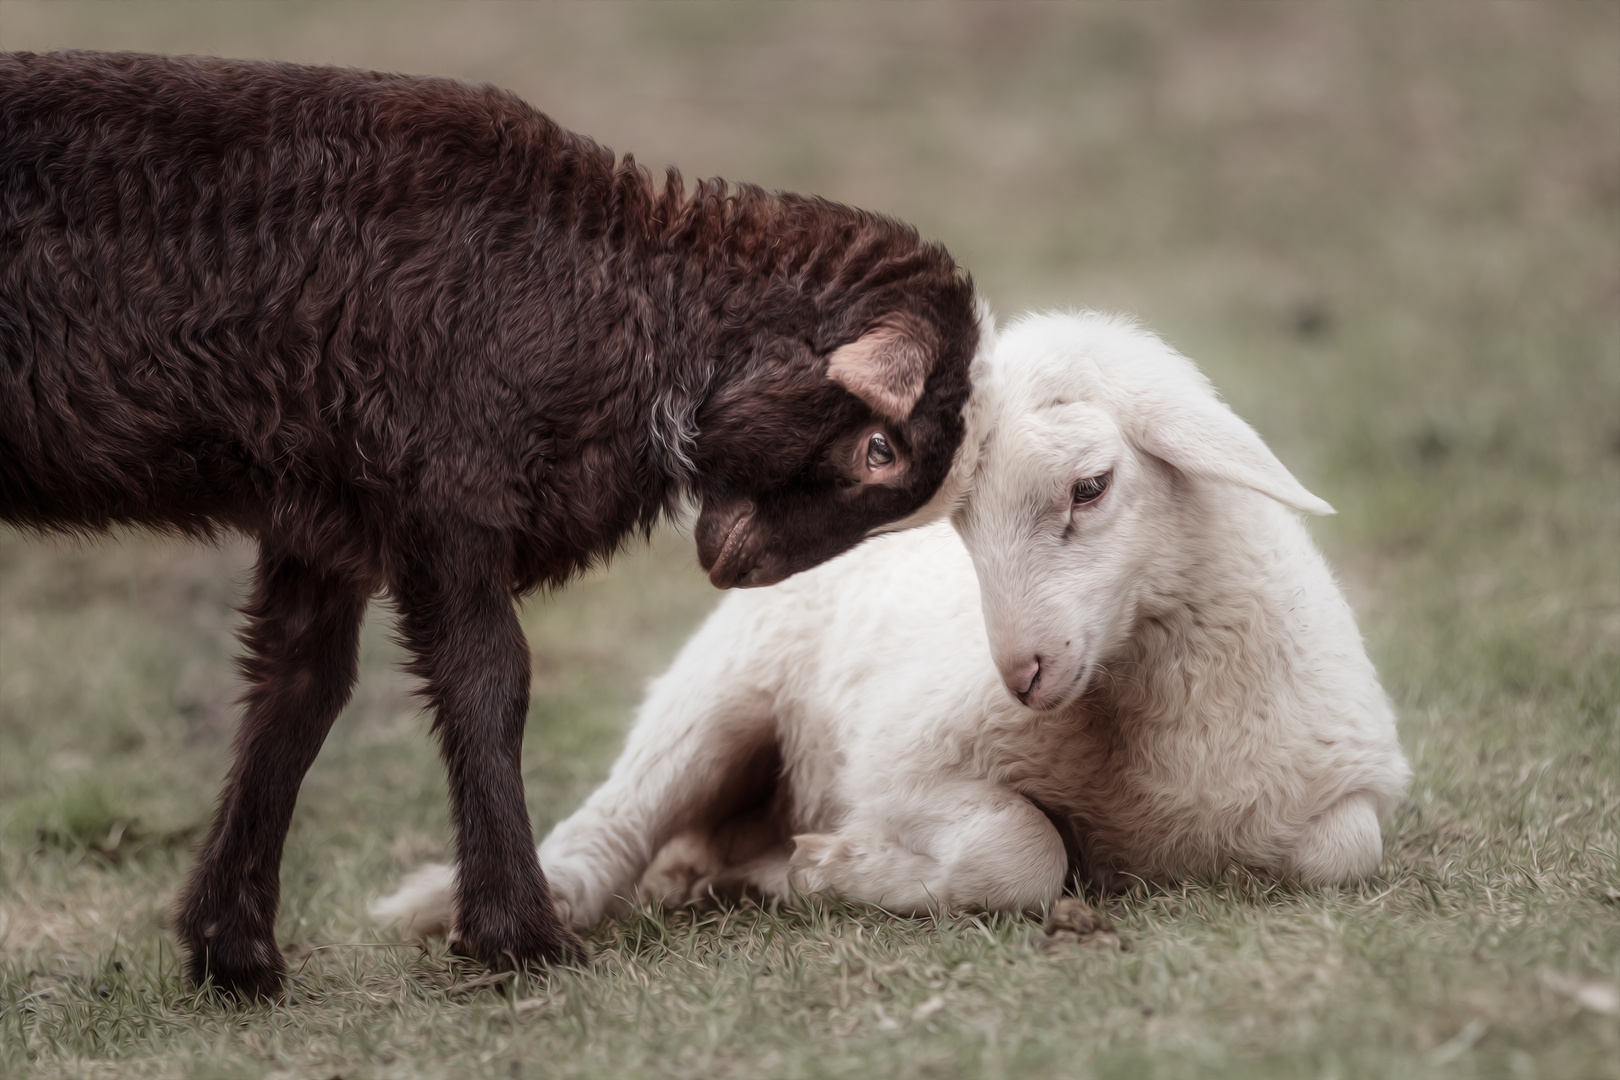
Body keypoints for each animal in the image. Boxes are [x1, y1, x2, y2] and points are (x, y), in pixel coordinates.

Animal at [0, 48, 978, 997]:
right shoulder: (446, 491)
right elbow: (488, 684)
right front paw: (520, 939)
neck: (633, 305)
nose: (748, 572)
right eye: (880, 448)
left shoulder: (321, 513)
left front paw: (232, 954)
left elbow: (297, 693)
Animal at [372, 312, 1412, 939]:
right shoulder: (900, 763)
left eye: (1091, 486)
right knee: (609, 835)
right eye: (962, 520)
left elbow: (1342, 852)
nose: (1021, 674)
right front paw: (839, 865)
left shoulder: (1338, 793)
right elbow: (1020, 852)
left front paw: (813, 867)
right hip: (717, 697)